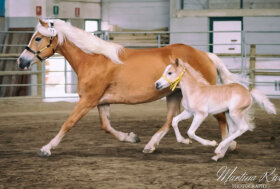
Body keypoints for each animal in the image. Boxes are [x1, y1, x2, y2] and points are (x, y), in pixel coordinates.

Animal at [18, 18, 238, 157]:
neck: (93, 59)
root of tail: (205, 55)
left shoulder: (87, 100)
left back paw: (225, 147)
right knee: (170, 120)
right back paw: (150, 146)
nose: (22, 61)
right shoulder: (101, 102)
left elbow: (68, 123)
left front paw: (46, 148)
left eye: (38, 38)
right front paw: (131, 137)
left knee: (220, 117)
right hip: (174, 94)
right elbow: (106, 126)